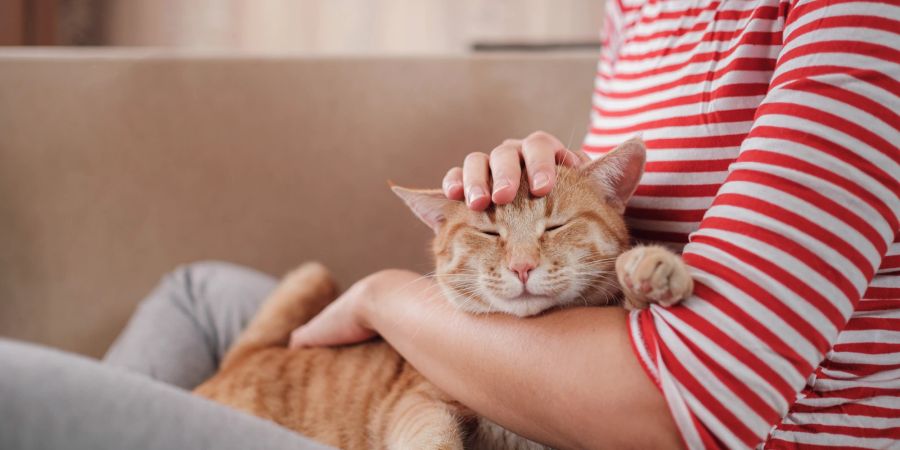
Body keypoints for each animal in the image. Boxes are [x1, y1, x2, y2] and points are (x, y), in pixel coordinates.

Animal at [193, 138, 692, 450]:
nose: (522, 266)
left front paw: (654, 269)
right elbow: (433, 437)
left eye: (555, 226)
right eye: (488, 232)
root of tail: (239, 361)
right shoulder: (418, 402)